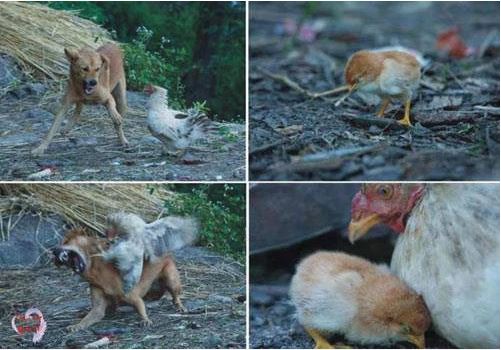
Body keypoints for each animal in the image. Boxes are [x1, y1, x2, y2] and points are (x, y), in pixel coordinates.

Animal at [52, 228, 184, 332]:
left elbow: (141, 308)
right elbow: (88, 318)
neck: (96, 272)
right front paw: (76, 326)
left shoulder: (133, 297)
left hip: (171, 279)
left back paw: (180, 306)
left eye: (65, 241)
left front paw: (145, 320)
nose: (53, 251)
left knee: (175, 296)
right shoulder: (98, 307)